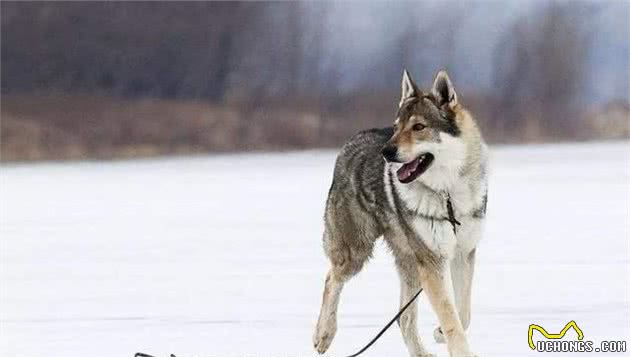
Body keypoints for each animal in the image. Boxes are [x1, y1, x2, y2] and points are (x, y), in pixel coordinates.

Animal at [314, 68, 488, 354]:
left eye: (419, 127)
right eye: (397, 128)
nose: (386, 151)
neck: (447, 194)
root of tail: (353, 140)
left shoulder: (463, 253)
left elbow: (462, 313)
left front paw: (440, 333)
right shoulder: (432, 261)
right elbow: (451, 315)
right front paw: (460, 349)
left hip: (410, 264)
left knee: (403, 318)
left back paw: (422, 354)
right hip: (356, 253)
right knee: (331, 279)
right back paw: (323, 335)